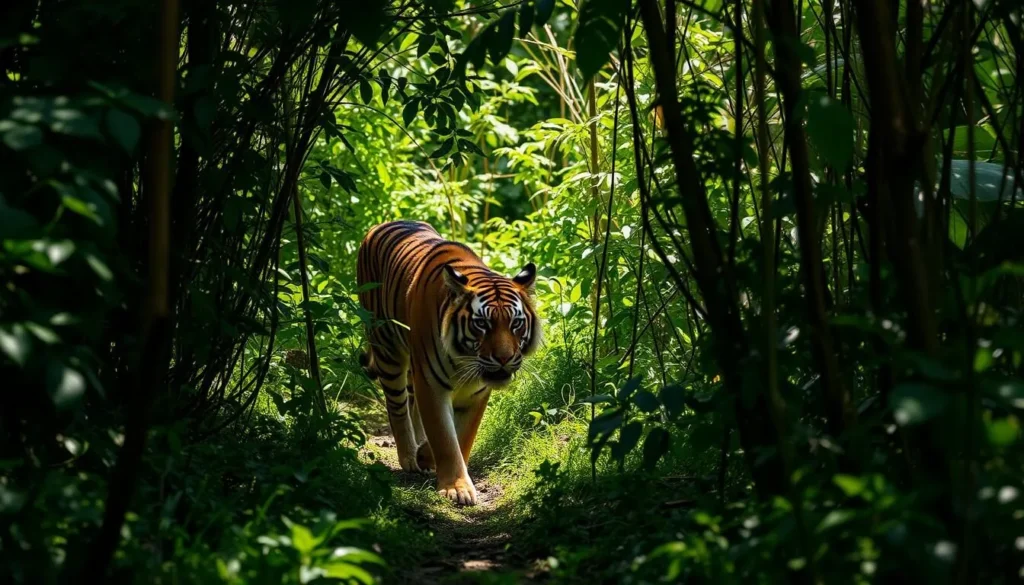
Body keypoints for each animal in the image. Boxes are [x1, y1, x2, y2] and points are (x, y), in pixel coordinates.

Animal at [356, 220, 542, 505]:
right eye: (482, 324)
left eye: (516, 323)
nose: (504, 358)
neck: (465, 361)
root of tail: (380, 225)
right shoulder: (431, 384)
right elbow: (444, 437)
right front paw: (455, 488)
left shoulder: (476, 394)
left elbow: (462, 438)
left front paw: (433, 461)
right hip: (387, 348)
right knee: (397, 405)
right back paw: (409, 457)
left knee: (412, 404)